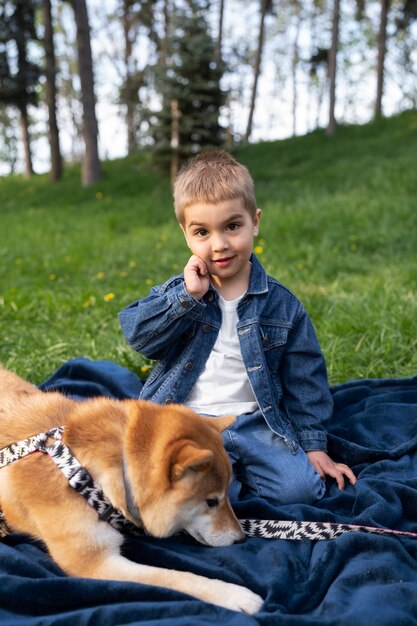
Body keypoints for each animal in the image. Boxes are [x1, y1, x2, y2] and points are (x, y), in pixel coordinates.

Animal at [0, 364, 260, 612]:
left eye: (227, 495)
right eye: (211, 502)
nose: (241, 539)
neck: (84, 473)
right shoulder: (95, 563)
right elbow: (175, 577)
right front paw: (236, 595)